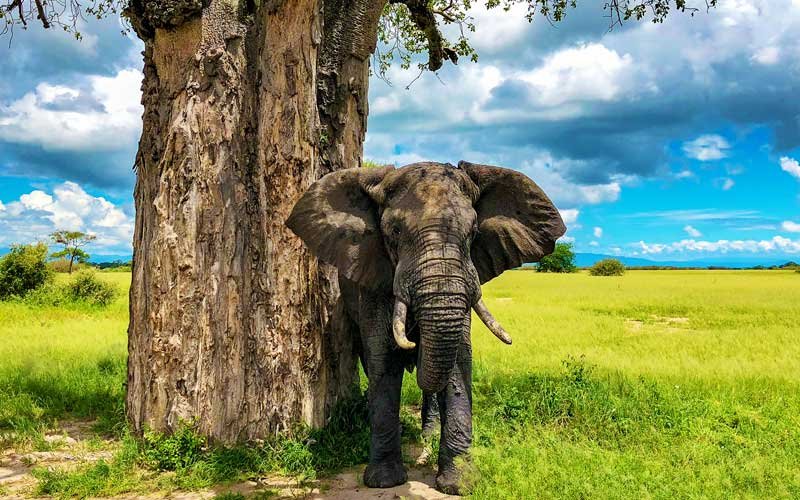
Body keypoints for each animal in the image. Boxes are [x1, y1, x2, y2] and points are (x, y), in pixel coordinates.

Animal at [286, 161, 565, 494]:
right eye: (394, 231)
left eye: (474, 233)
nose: (411, 342)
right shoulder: (374, 281)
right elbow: (383, 362)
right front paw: (384, 481)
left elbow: (458, 363)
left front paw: (459, 484)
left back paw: (429, 436)